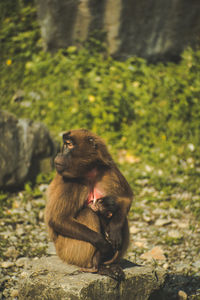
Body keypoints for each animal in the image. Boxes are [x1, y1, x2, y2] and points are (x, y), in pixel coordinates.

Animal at [45, 129, 133, 282]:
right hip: (67, 250)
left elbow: (125, 198)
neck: (88, 171)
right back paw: (96, 266)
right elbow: (58, 219)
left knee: (122, 218)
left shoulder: (110, 169)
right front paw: (103, 244)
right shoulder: (70, 181)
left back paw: (110, 265)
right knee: (87, 213)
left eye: (69, 145)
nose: (59, 154)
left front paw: (115, 230)